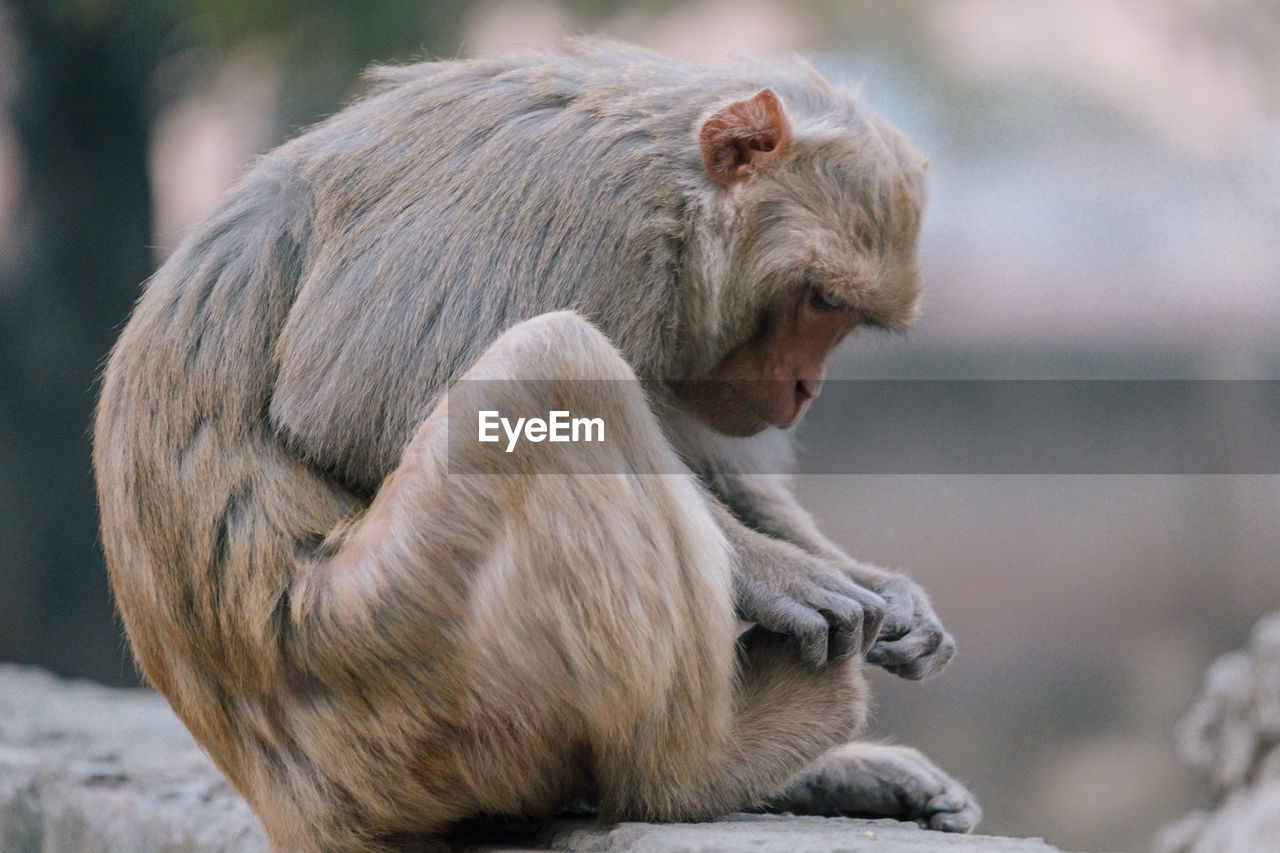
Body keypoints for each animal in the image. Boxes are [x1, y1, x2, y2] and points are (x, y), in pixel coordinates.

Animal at [94, 41, 972, 850]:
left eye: (843, 315)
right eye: (818, 299)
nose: (802, 389)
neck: (674, 193)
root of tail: (288, 802)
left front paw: (888, 591)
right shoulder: (578, 204)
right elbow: (359, 410)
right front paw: (777, 571)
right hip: (390, 667)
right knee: (552, 363)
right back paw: (707, 765)